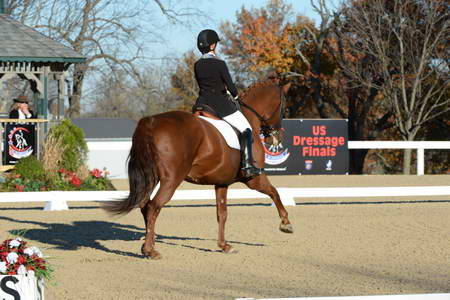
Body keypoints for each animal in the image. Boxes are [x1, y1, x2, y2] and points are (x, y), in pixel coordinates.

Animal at [104, 78, 294, 258]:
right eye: (283, 107)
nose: (275, 138)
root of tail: (151, 122)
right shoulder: (254, 178)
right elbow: (274, 192)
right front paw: (286, 224)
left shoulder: (221, 182)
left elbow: (222, 213)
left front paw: (224, 246)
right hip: (171, 180)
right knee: (153, 207)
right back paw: (151, 251)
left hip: (151, 177)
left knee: (144, 206)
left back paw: (147, 245)